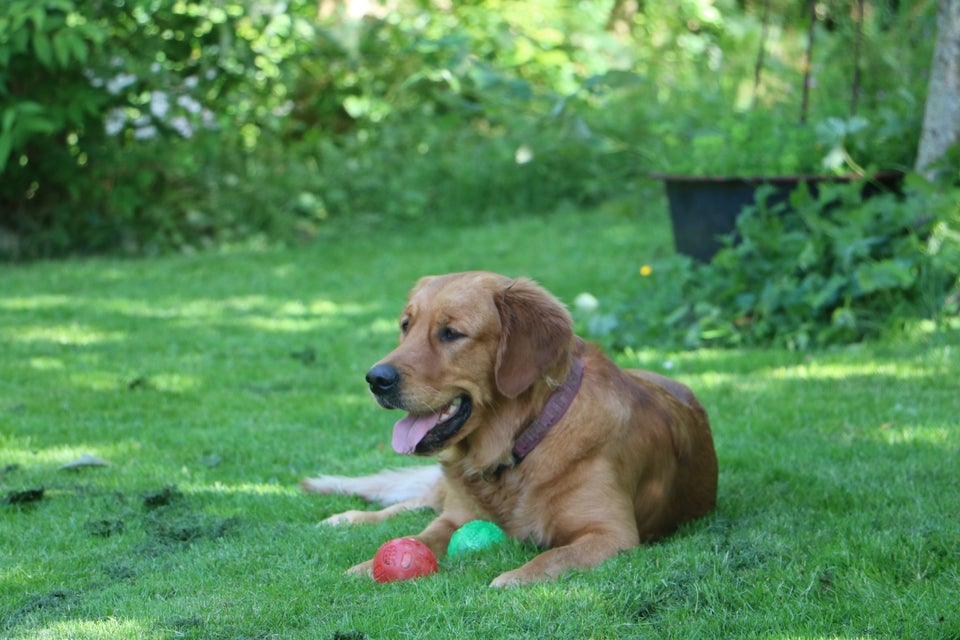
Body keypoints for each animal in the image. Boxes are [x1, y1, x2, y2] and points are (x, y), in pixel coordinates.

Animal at [304, 272, 716, 588]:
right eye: (406, 326)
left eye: (451, 333)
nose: (376, 379)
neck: (518, 447)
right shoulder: (455, 517)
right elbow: (421, 535)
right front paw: (369, 565)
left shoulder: (612, 534)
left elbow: (554, 557)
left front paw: (515, 577)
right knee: (411, 502)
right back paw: (347, 518)